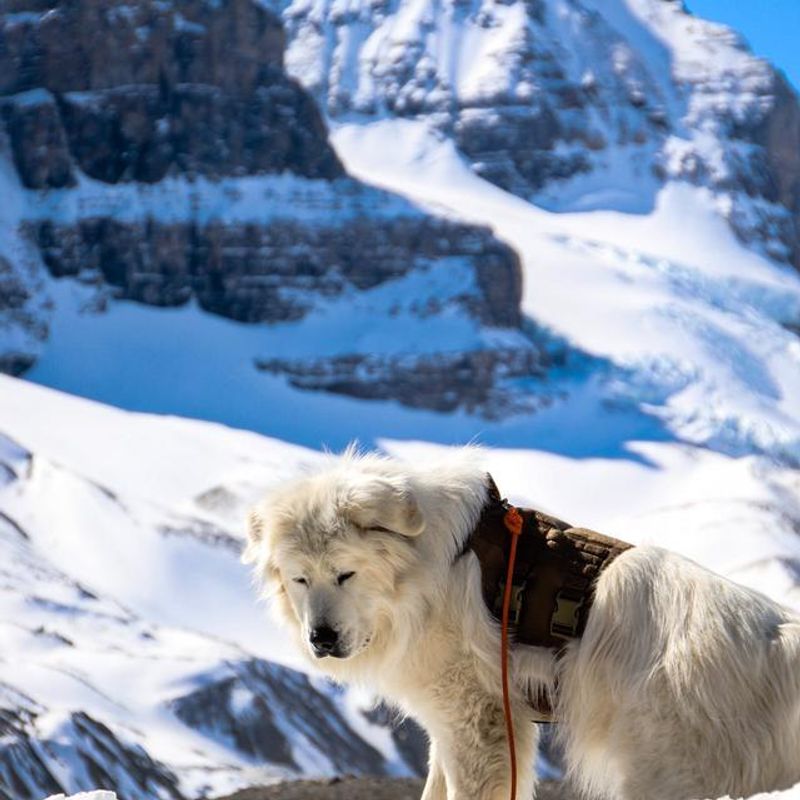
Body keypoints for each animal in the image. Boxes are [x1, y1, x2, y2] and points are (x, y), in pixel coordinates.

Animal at [242, 450, 800, 800]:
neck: (424, 576)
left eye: (345, 573)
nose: (321, 639)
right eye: (299, 579)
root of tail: (779, 642)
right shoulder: (453, 724)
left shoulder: (478, 722)